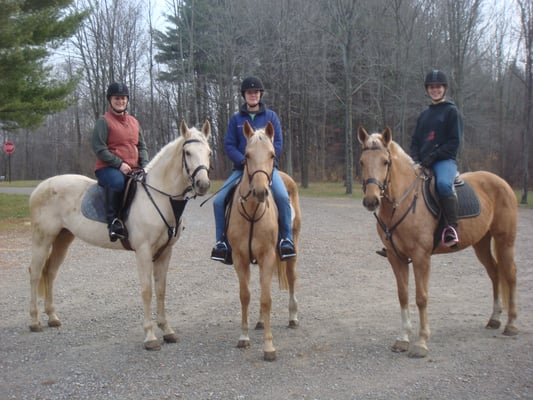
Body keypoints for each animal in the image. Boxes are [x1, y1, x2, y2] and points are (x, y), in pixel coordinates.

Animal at [28, 119, 212, 350]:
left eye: (209, 152)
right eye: (187, 152)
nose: (203, 184)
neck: (160, 197)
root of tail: (41, 186)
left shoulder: (165, 252)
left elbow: (161, 290)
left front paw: (167, 331)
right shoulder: (143, 252)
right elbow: (146, 290)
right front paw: (150, 336)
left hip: (63, 238)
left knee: (50, 272)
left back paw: (52, 317)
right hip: (42, 240)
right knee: (35, 273)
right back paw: (34, 321)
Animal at [224, 120, 300, 360]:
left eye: (272, 154)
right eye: (247, 155)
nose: (260, 192)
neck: (252, 211)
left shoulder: (267, 256)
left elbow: (266, 299)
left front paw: (269, 347)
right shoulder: (240, 258)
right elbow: (246, 295)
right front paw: (244, 337)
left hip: (292, 250)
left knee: (292, 278)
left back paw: (293, 318)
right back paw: (258, 322)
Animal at [356, 126, 516, 358]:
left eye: (386, 162)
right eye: (361, 162)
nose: (371, 201)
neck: (402, 203)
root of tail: (501, 181)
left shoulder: (421, 257)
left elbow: (421, 297)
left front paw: (421, 343)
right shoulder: (396, 257)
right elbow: (403, 295)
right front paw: (403, 339)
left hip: (505, 241)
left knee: (510, 276)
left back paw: (511, 324)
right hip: (481, 243)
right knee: (495, 273)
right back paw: (494, 319)